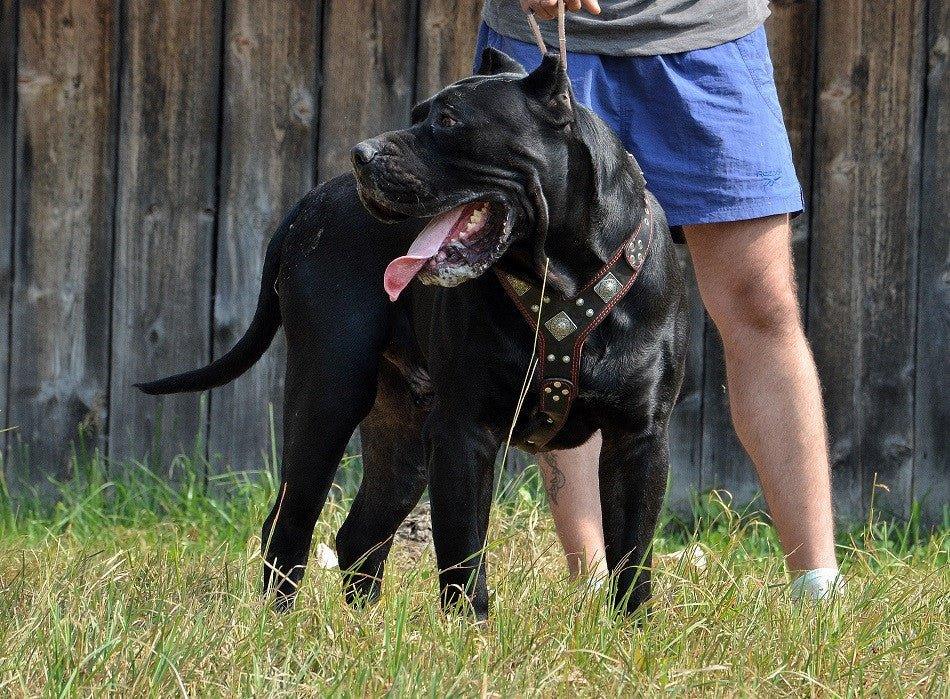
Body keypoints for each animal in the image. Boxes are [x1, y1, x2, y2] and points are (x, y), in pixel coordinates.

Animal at [138, 47, 688, 616]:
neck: (562, 281)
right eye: (420, 114)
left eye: (447, 121)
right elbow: (464, 556)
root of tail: (308, 202)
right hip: (327, 398)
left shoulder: (638, 440)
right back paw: (278, 621)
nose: (361, 154)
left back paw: (361, 626)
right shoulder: (464, 431)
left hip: (402, 434)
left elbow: (633, 554)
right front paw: (470, 632)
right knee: (288, 523)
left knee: (360, 533)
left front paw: (630, 629)